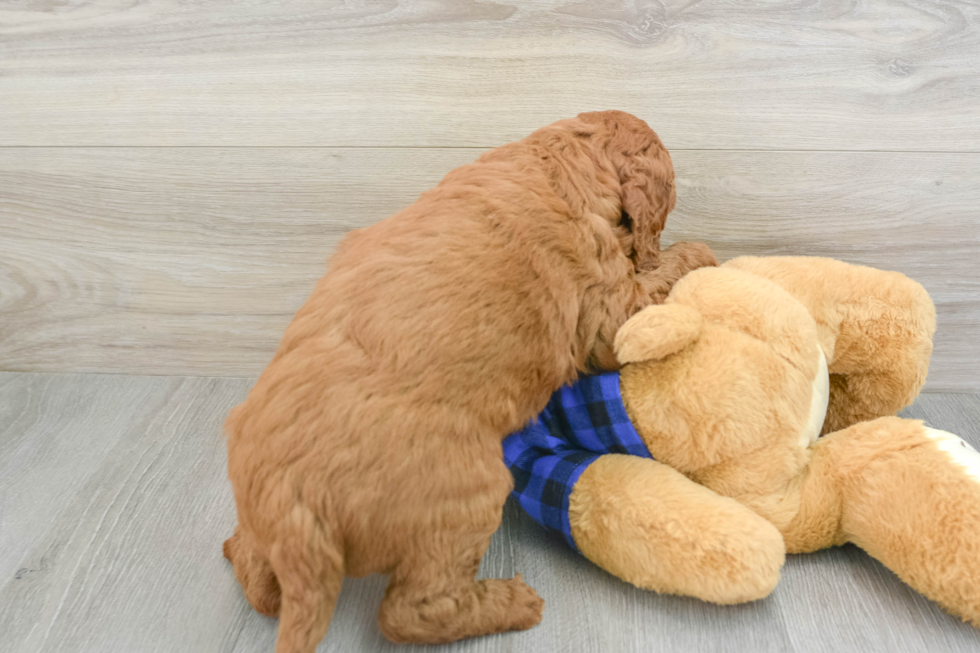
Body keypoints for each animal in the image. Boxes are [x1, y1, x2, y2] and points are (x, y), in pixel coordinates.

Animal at [220, 109, 712, 648]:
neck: (558, 160)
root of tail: (296, 523)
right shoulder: (608, 308)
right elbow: (654, 286)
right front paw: (698, 253)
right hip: (464, 500)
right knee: (410, 611)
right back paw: (511, 604)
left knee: (255, 571)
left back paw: (245, 561)